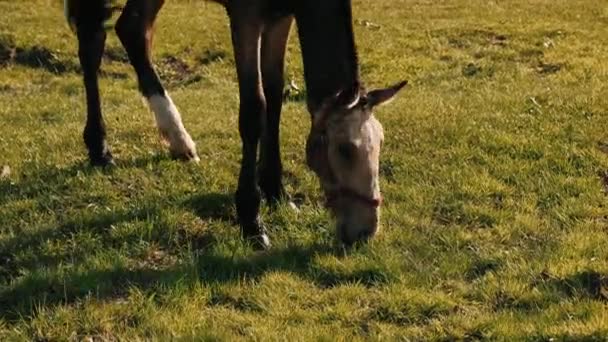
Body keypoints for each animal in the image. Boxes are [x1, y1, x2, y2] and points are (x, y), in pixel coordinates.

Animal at [66, 0, 406, 251]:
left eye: (381, 143)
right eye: (345, 149)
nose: (366, 231)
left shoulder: (280, 17)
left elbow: (274, 95)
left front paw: (276, 191)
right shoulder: (245, 17)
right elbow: (255, 110)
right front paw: (251, 218)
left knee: (132, 29)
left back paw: (177, 139)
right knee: (92, 41)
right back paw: (100, 147)